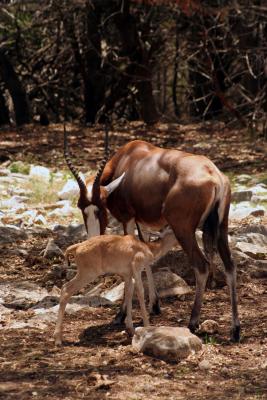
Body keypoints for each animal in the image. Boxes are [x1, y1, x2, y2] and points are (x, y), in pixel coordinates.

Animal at [64, 133, 241, 342]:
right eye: (81, 207)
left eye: (101, 206)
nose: (92, 239)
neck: (129, 158)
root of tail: (214, 175)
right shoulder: (144, 224)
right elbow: (147, 258)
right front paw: (154, 306)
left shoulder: (128, 219)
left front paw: (121, 315)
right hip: (221, 228)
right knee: (230, 266)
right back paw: (235, 330)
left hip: (183, 230)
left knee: (202, 266)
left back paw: (193, 322)